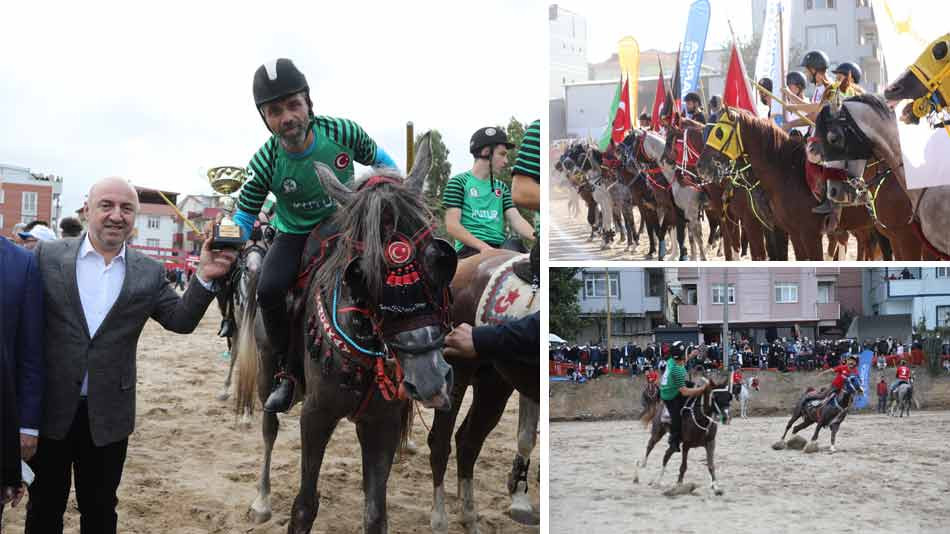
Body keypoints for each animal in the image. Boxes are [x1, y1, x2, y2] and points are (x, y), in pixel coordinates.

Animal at [233, 134, 458, 534]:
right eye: (361, 274)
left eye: (439, 259)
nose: (429, 379)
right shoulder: (316, 416)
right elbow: (304, 506)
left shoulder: (382, 423)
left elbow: (375, 513)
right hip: (265, 369)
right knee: (268, 428)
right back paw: (261, 498)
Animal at [430, 249, 540, 532]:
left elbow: (526, 438)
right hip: (457, 377)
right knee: (440, 443)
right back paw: (440, 520)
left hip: (495, 384)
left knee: (468, 443)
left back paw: (469, 517)